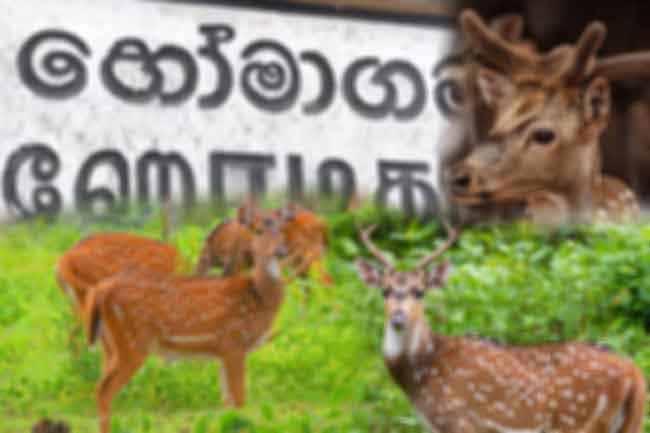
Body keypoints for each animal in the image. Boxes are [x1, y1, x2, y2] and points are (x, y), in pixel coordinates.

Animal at [83, 208, 291, 433]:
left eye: (282, 230)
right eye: (258, 230)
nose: (281, 251)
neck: (258, 298)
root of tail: (100, 291)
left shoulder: (223, 352)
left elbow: (227, 403)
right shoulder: (233, 344)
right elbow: (239, 401)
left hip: (109, 346)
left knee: (100, 386)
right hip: (133, 343)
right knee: (104, 390)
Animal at [195, 201, 332, 285]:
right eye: (259, 230)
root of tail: (320, 222)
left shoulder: (236, 263)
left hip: (306, 257)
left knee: (323, 280)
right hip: (308, 260)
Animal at [356, 225, 647, 433]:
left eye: (420, 291)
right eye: (385, 290)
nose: (398, 318)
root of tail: (635, 374)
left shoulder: (461, 420)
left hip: (578, 420)